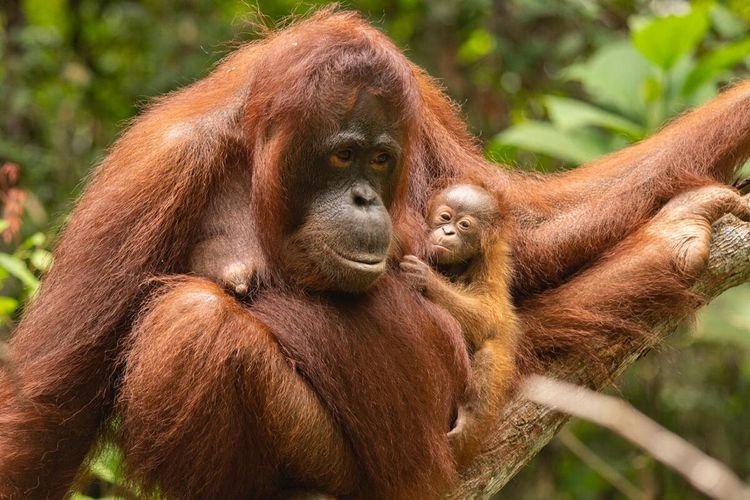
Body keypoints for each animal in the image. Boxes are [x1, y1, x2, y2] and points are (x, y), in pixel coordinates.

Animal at [400, 183, 519, 466]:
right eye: (445, 217)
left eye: (464, 225)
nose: (448, 232)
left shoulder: (492, 263)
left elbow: (488, 316)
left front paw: (427, 280)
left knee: (490, 352)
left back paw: (469, 422)